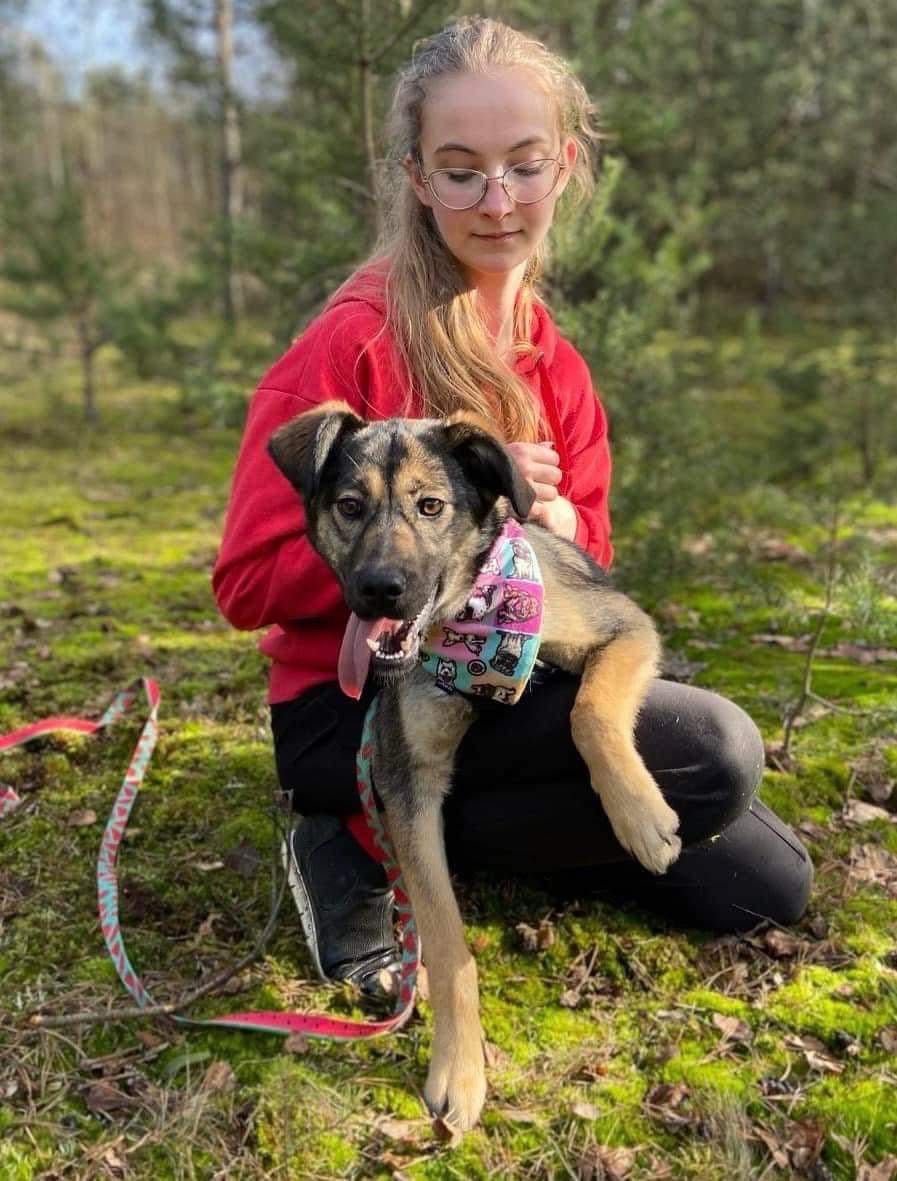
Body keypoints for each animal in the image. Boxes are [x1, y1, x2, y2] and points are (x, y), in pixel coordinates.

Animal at [266, 403, 679, 1133]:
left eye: (430, 505)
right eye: (350, 506)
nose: (380, 591)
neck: (472, 627)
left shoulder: (625, 626)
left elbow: (589, 710)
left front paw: (640, 816)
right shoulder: (407, 779)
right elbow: (445, 940)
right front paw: (458, 1070)